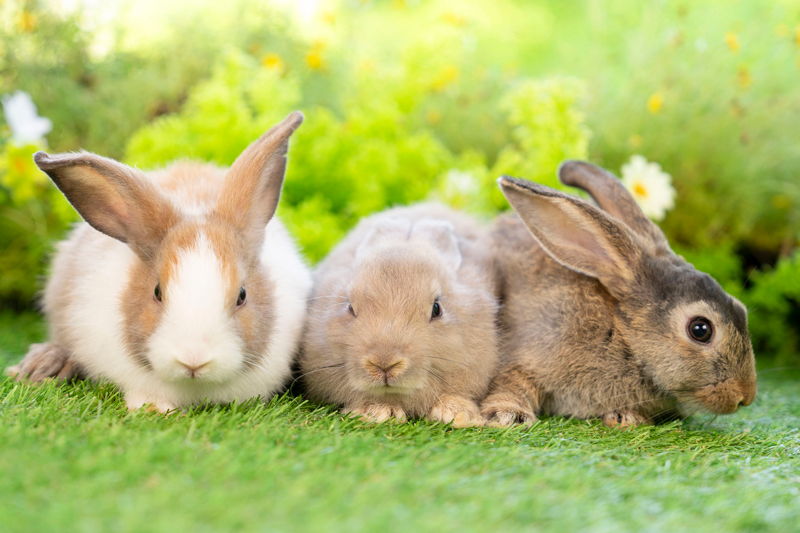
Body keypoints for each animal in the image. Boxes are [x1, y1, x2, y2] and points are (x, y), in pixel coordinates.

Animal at [482, 160, 756, 426]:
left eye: (743, 310)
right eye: (701, 329)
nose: (745, 396)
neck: (620, 334)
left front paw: (627, 418)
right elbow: (514, 383)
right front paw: (508, 414)